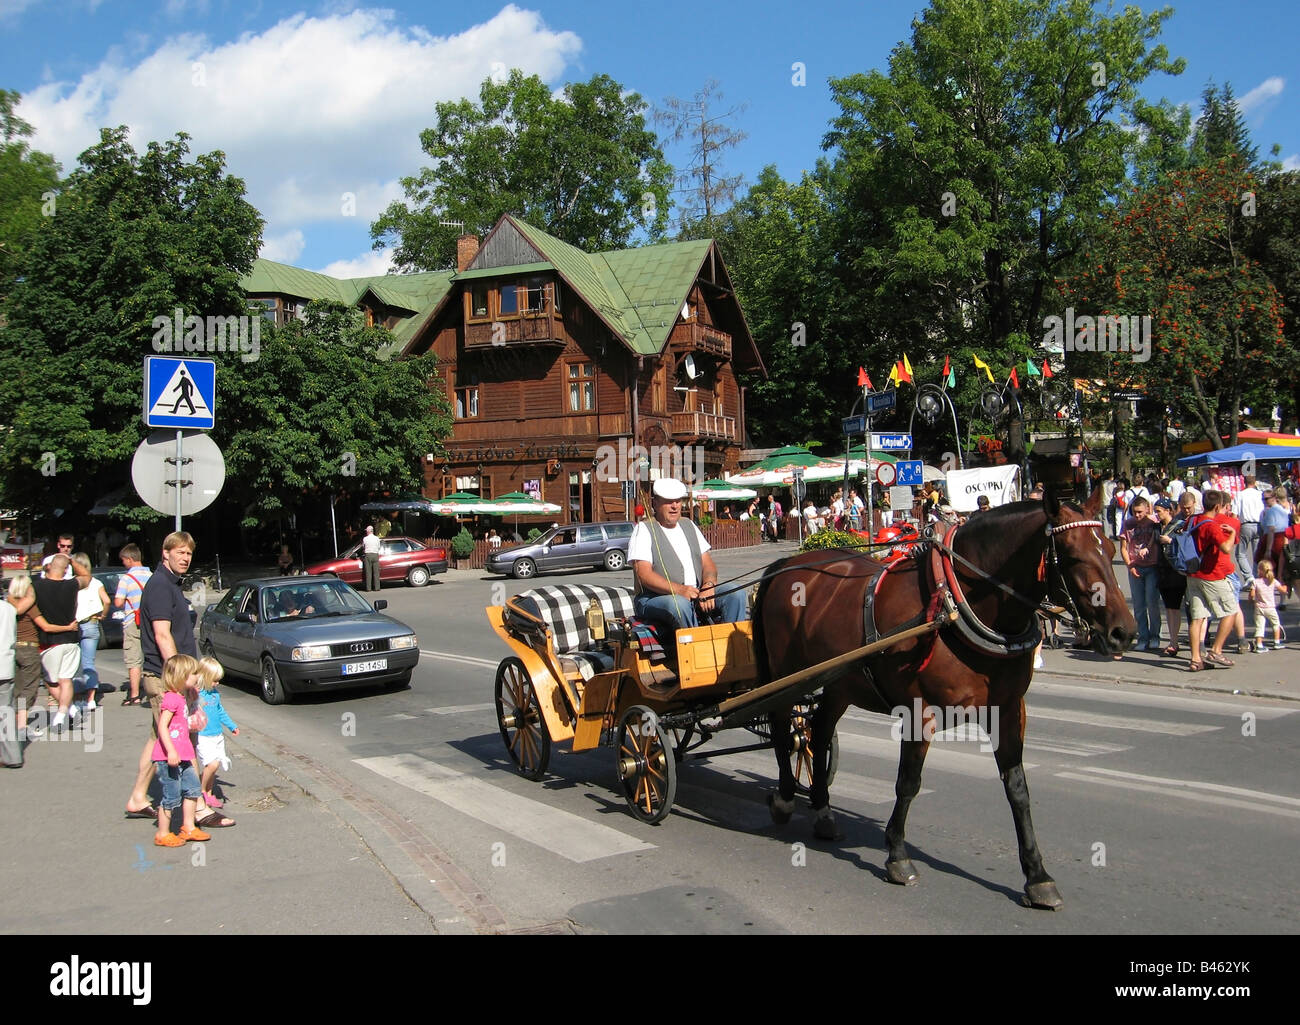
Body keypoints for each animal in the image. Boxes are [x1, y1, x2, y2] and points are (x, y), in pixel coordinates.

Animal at [759, 491, 1133, 910]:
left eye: (1111, 548)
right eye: (1072, 555)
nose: (1124, 632)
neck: (956, 605)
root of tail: (786, 564)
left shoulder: (1008, 710)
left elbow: (1018, 789)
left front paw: (1037, 876)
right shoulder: (917, 713)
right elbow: (908, 782)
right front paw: (898, 855)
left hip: (840, 683)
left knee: (819, 733)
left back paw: (823, 809)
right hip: (785, 675)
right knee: (782, 728)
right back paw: (785, 797)